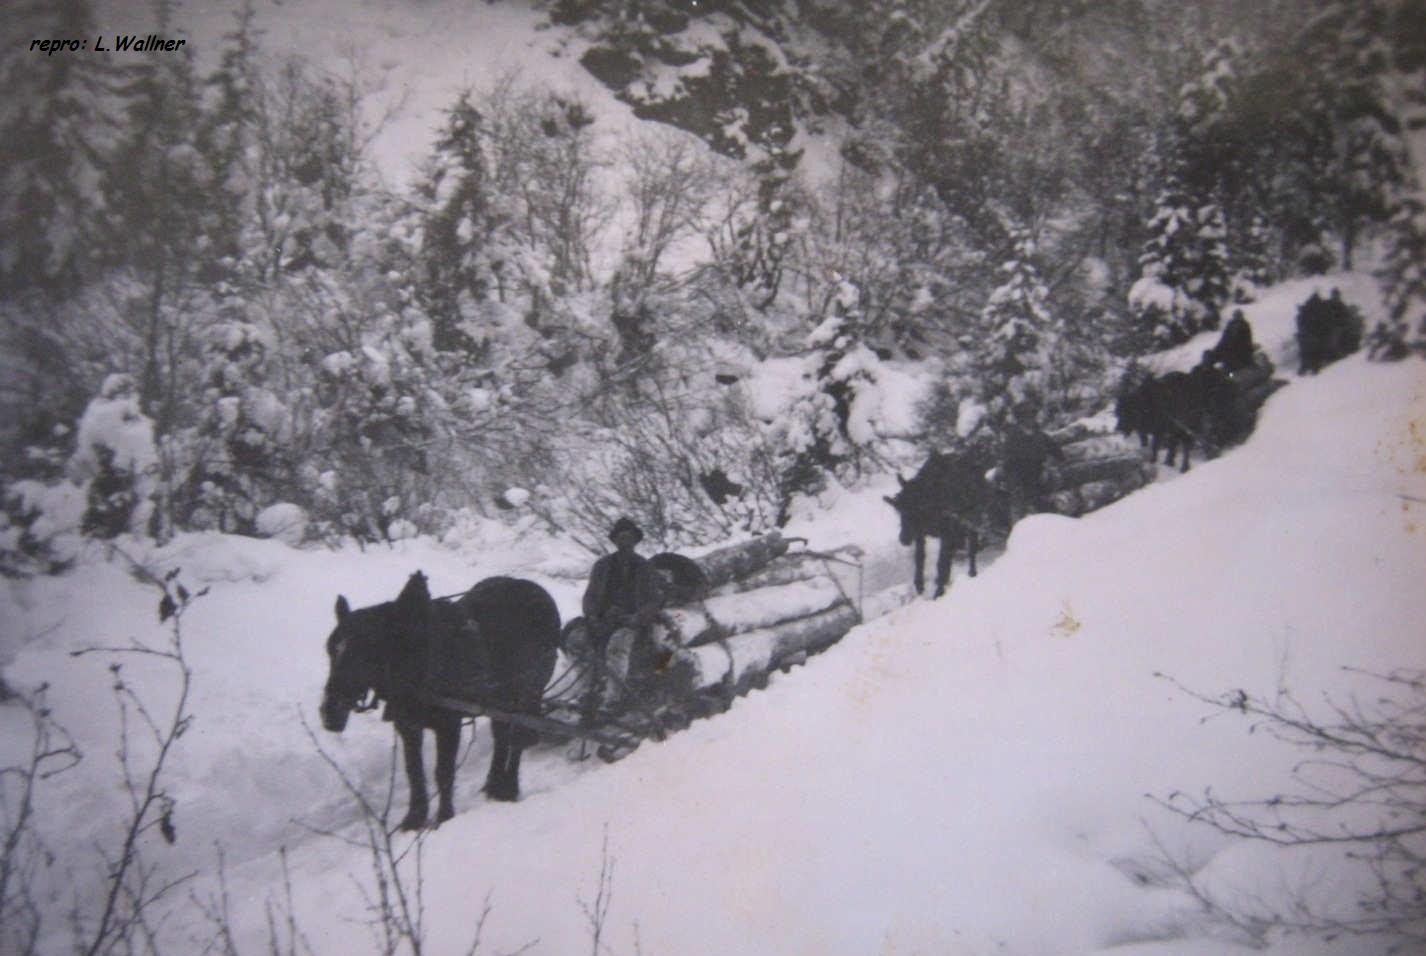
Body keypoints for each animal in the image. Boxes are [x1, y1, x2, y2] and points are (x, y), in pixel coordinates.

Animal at [320, 576, 558, 833]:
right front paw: (414, 819)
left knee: (518, 739)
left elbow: (443, 771)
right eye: (330, 649)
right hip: (500, 700)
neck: (420, 661)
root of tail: (538, 590)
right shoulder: (408, 726)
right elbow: (414, 771)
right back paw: (493, 784)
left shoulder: (449, 725)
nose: (328, 712)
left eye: (363, 651)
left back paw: (508, 789)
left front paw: (444, 817)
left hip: (528, 693)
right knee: (501, 736)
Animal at [878, 450, 992, 599]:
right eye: (899, 510)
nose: (904, 539)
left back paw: (972, 573)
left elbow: (941, 563)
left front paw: (938, 592)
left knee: (972, 547)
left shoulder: (946, 532)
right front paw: (920, 586)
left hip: (973, 518)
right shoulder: (921, 534)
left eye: (917, 509)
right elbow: (920, 559)